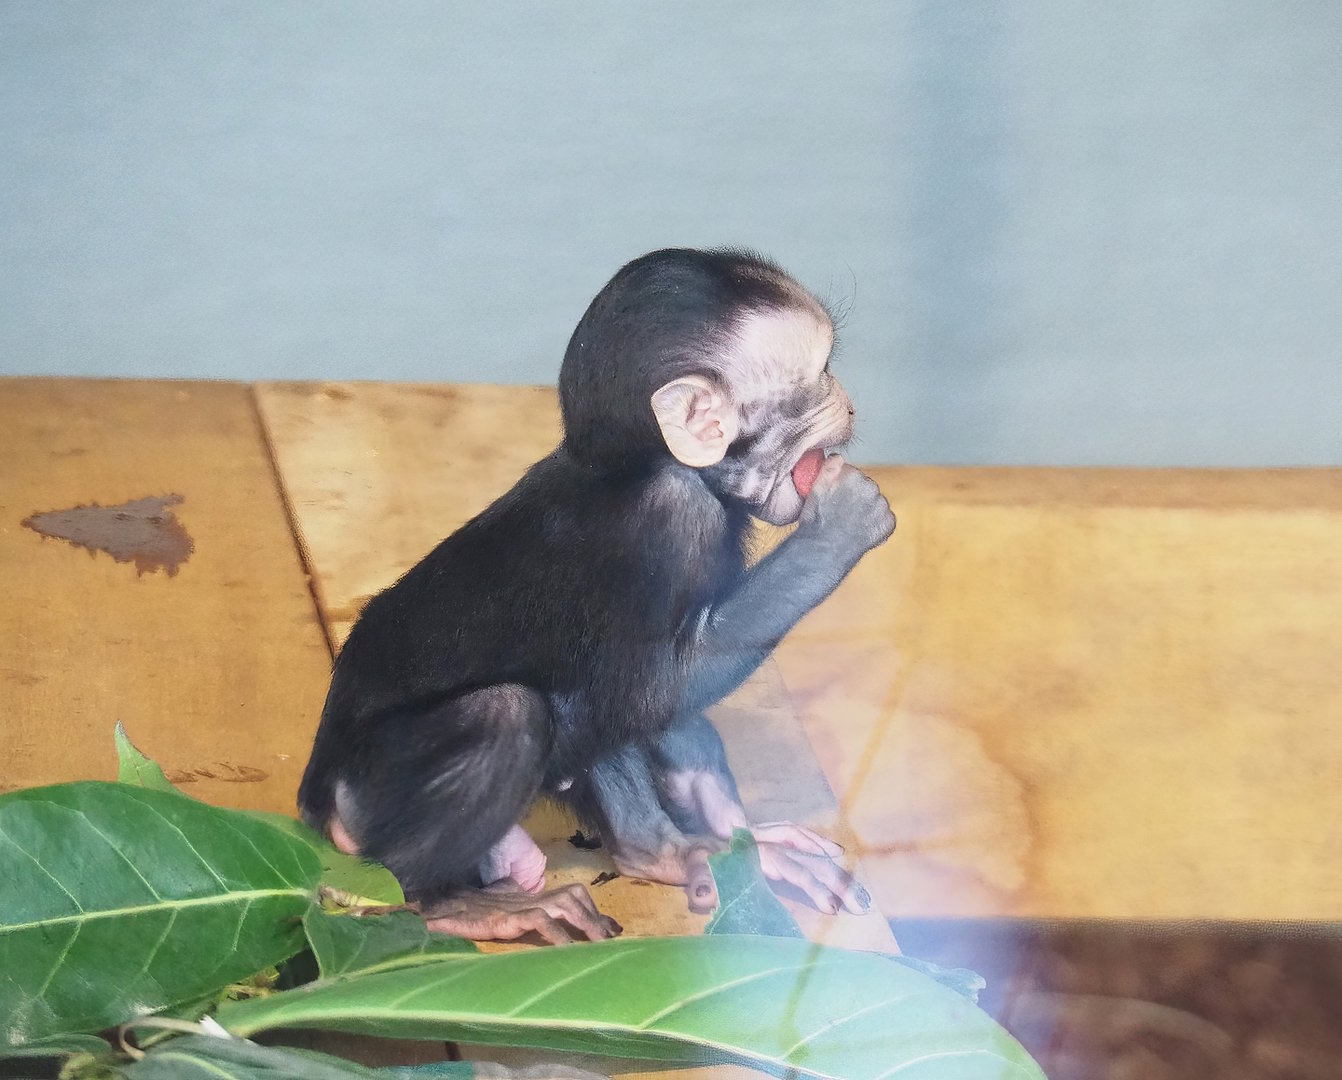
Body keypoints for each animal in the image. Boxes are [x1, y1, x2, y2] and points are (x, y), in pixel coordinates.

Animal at [297, 248, 897, 944]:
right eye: (822, 373)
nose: (849, 404)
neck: (640, 463)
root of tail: (316, 798)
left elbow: (656, 708)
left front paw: (732, 834)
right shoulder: (671, 518)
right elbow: (652, 692)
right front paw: (842, 525)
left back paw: (659, 852)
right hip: (370, 793)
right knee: (517, 710)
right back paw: (442, 904)